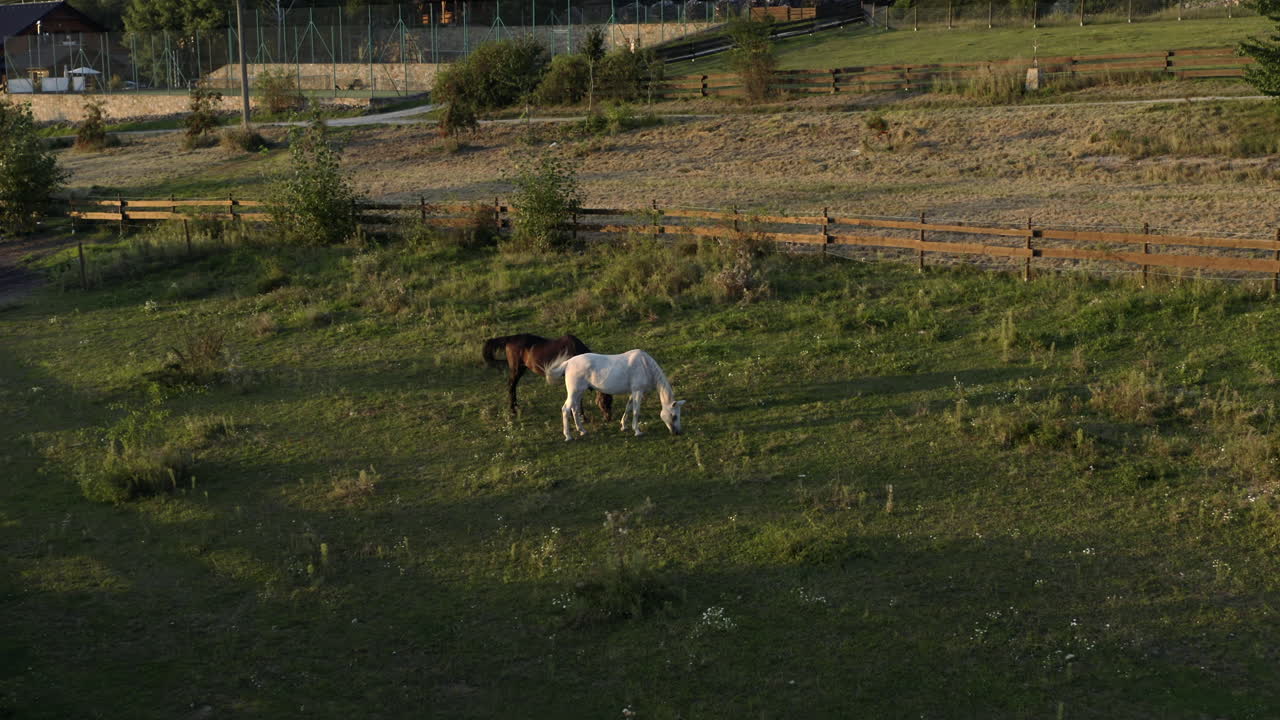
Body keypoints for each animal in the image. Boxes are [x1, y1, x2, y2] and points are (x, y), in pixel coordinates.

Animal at [481, 333, 612, 420]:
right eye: (606, 400)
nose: (608, 418)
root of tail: (510, 338)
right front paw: (582, 417)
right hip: (516, 369)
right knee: (511, 386)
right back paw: (513, 410)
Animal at [546, 349, 685, 441]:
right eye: (674, 416)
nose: (677, 432)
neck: (645, 365)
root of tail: (568, 362)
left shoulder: (633, 392)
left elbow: (628, 408)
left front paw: (624, 426)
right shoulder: (638, 391)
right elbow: (636, 411)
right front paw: (637, 431)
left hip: (579, 392)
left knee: (575, 409)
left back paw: (582, 431)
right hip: (574, 392)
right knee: (565, 409)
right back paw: (568, 436)